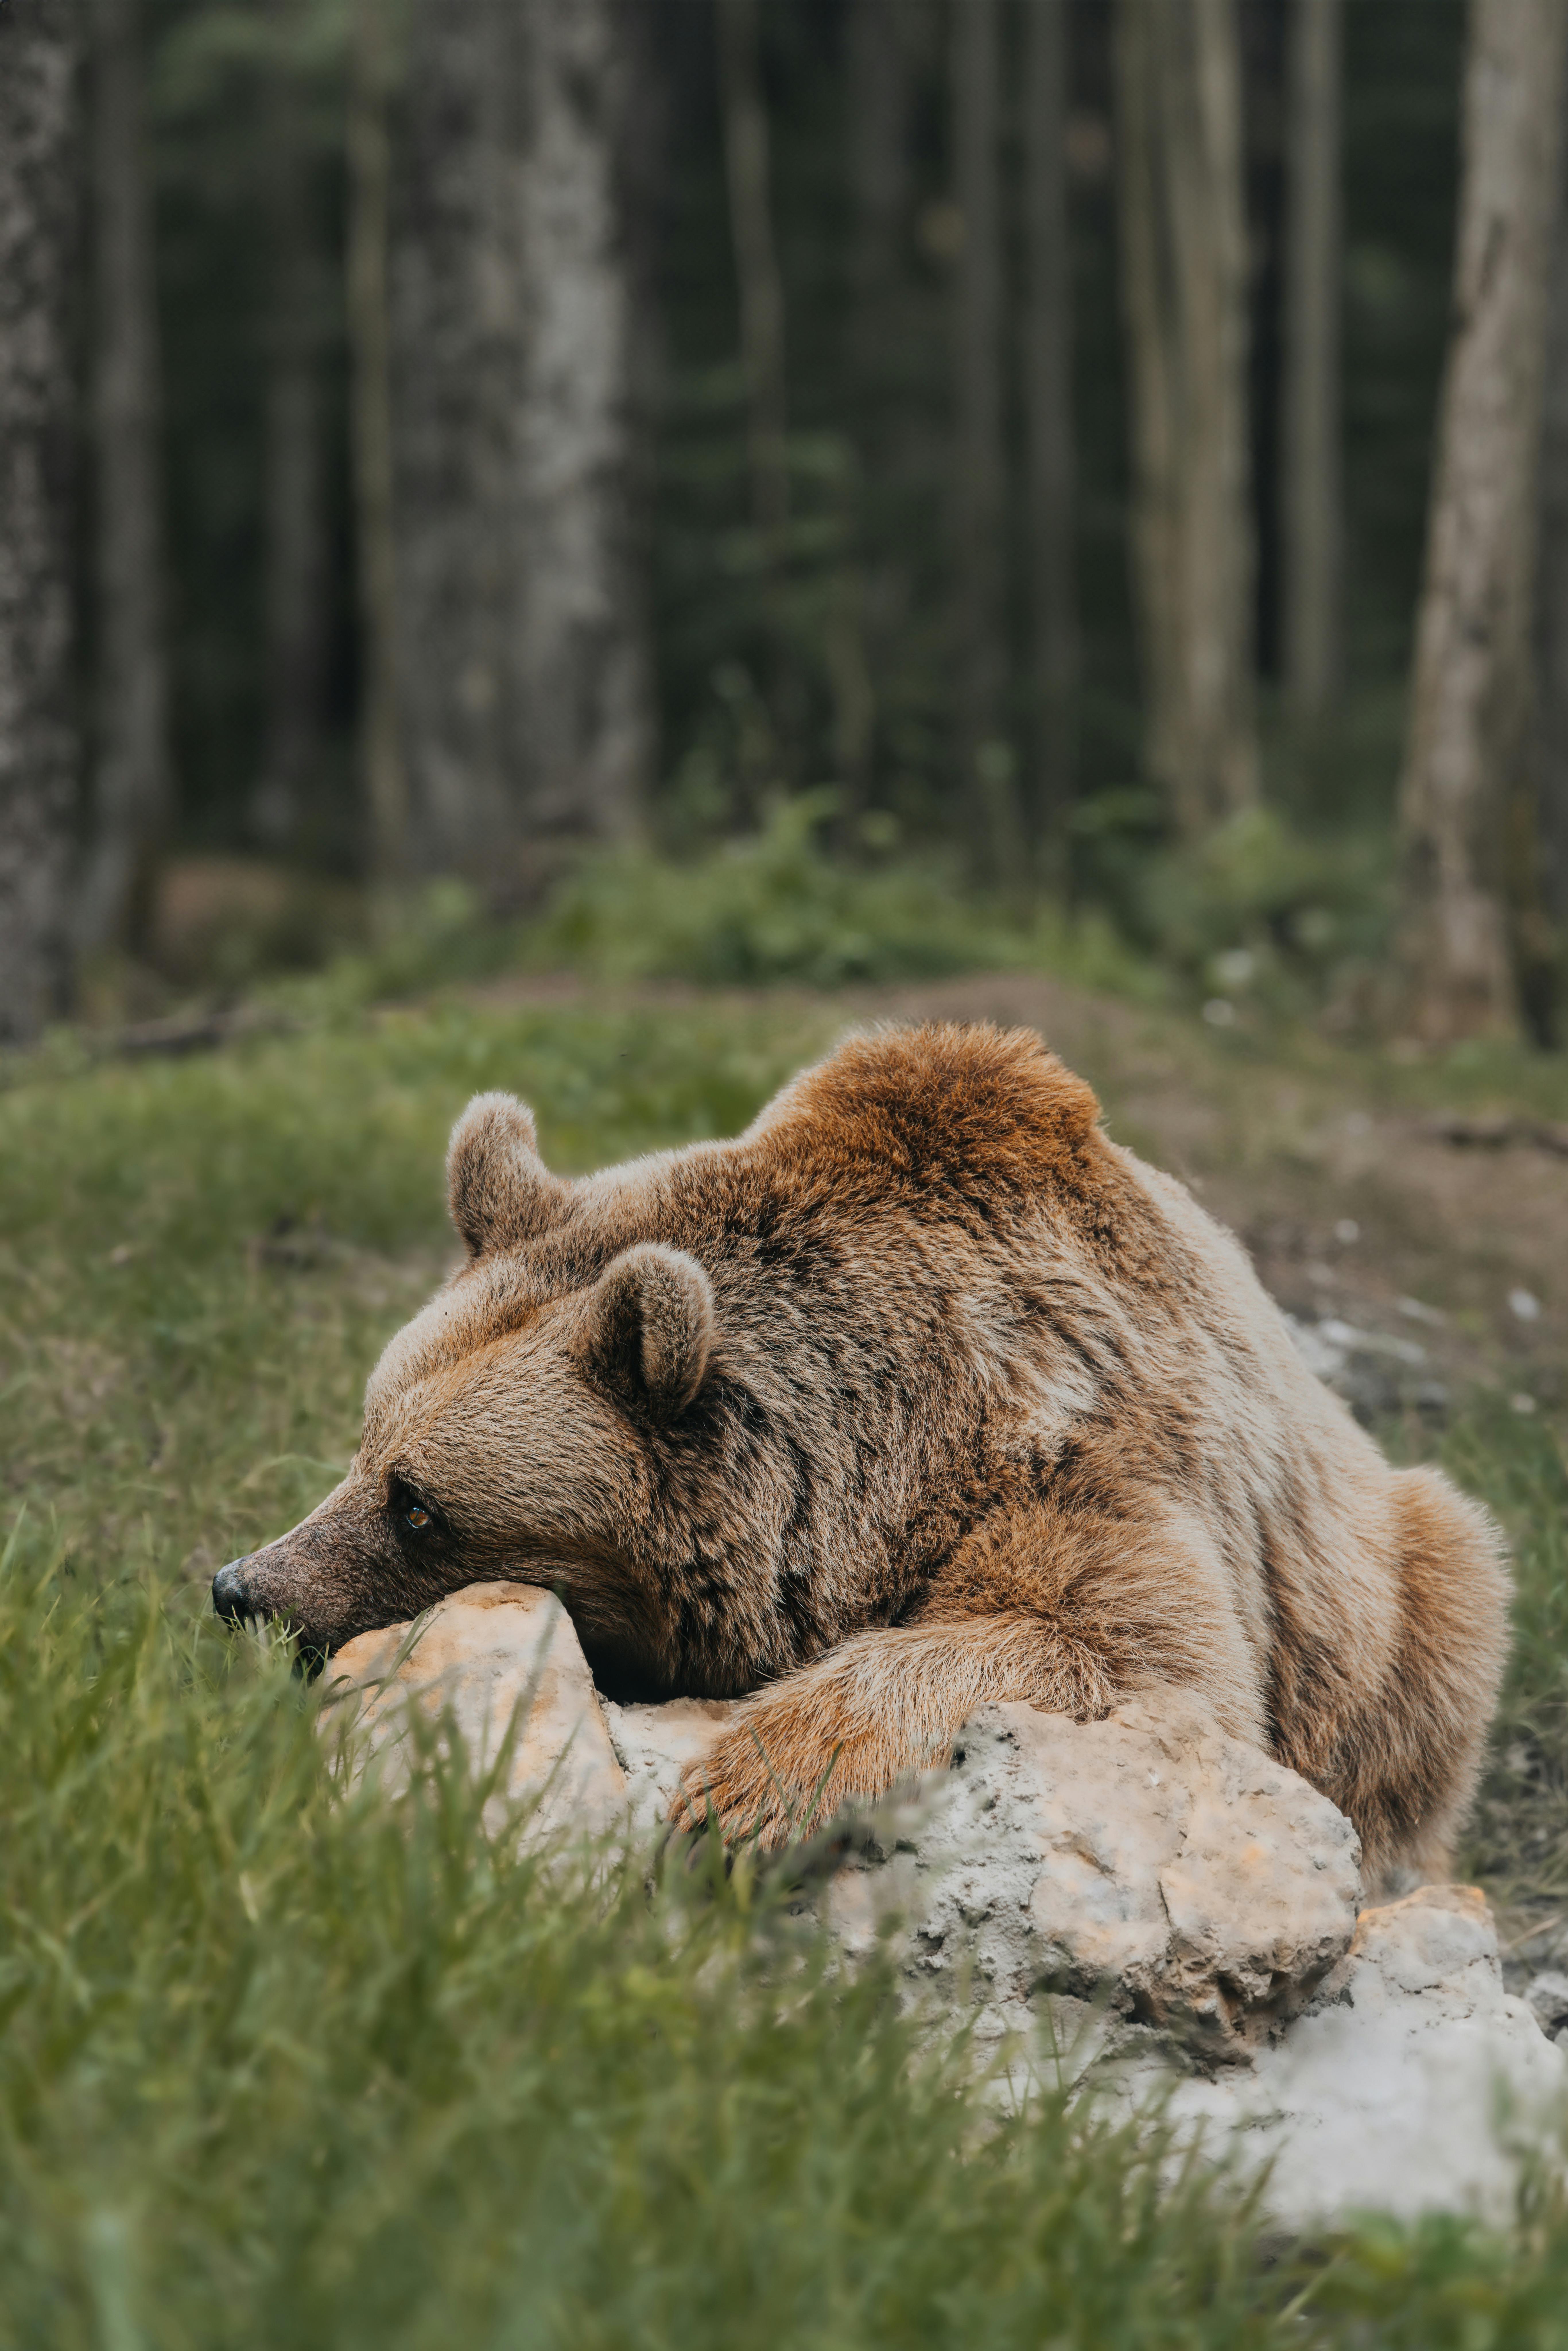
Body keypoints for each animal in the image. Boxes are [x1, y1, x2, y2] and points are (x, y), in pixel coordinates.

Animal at [212, 1022, 1510, 1886]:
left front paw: (746, 1788)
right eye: (365, 1441)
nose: (244, 1587)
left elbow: (1132, 1656)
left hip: (1384, 1591)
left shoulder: (1076, 1452)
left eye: (417, 1505)